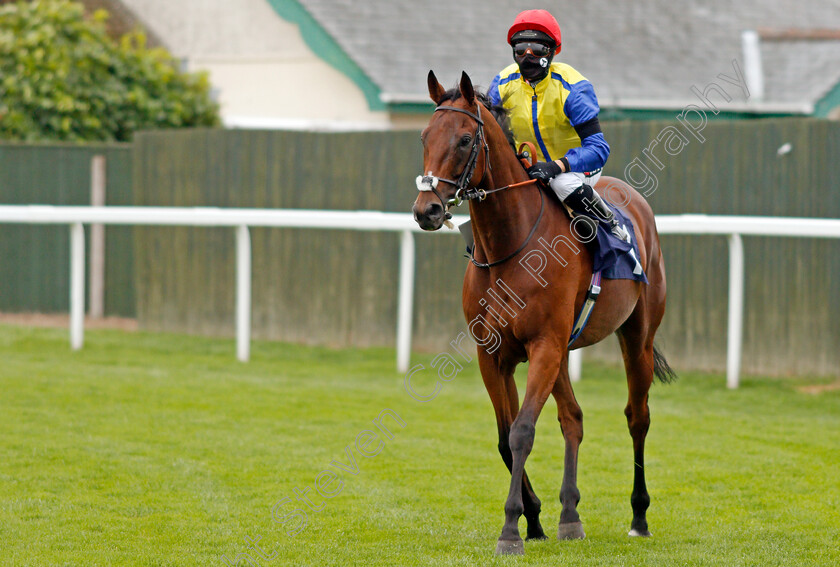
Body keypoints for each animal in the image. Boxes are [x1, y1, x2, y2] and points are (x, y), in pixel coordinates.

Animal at [414, 73, 676, 556]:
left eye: (464, 139)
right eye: (424, 136)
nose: (427, 210)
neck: (509, 247)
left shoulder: (544, 346)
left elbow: (522, 432)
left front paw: (511, 530)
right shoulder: (494, 355)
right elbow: (505, 437)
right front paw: (533, 519)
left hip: (636, 338)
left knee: (638, 416)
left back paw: (639, 515)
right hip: (563, 353)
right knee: (573, 418)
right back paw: (569, 515)